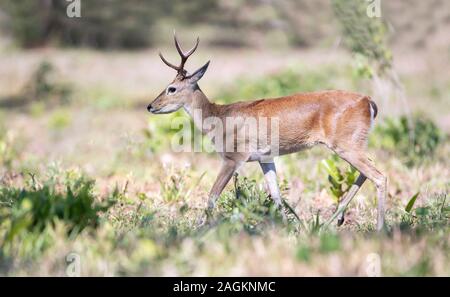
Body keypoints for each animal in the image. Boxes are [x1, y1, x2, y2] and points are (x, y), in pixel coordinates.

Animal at [148, 33, 386, 230]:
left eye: (171, 88)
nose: (150, 106)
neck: (218, 116)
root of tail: (369, 101)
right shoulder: (266, 158)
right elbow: (277, 195)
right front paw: (287, 230)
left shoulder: (233, 157)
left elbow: (212, 194)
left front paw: (197, 229)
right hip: (353, 144)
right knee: (368, 171)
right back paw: (333, 220)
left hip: (346, 145)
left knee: (379, 176)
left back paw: (378, 228)